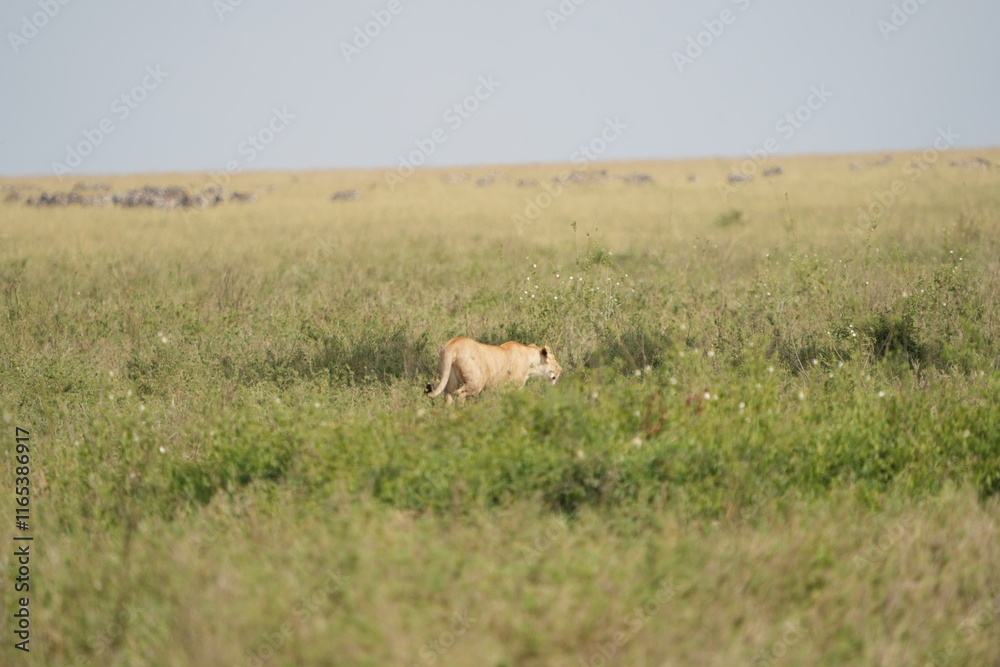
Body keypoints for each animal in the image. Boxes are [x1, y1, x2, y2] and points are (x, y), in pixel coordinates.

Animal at [424, 337, 562, 404]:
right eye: (554, 360)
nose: (561, 369)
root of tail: (453, 344)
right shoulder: (513, 387)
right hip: (477, 381)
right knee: (460, 393)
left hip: (450, 380)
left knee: (448, 396)